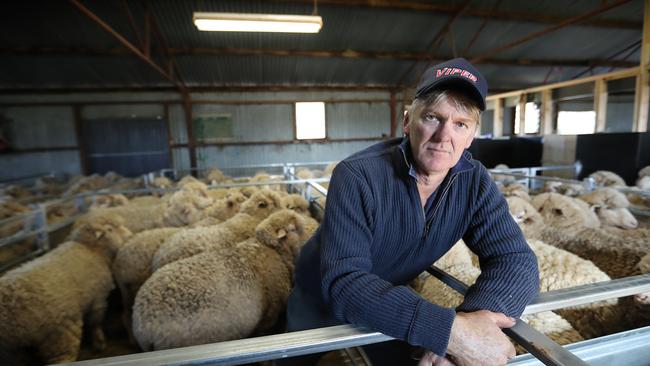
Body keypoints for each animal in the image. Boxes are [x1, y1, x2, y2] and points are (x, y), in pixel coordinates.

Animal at [0, 213, 132, 364]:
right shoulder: (98, 299)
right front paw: (99, 343)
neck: (91, 249)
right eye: (110, 229)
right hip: (59, 334)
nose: (130, 236)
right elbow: (95, 323)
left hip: (9, 351)